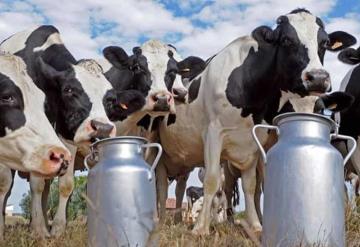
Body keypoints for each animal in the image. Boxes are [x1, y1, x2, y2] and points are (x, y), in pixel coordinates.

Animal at [154, 8, 354, 234]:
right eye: (286, 40)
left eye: (325, 42)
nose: (318, 78)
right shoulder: (214, 133)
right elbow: (212, 180)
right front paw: (200, 228)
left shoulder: (253, 142)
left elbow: (251, 185)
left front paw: (256, 224)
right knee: (162, 188)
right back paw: (162, 222)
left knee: (179, 188)